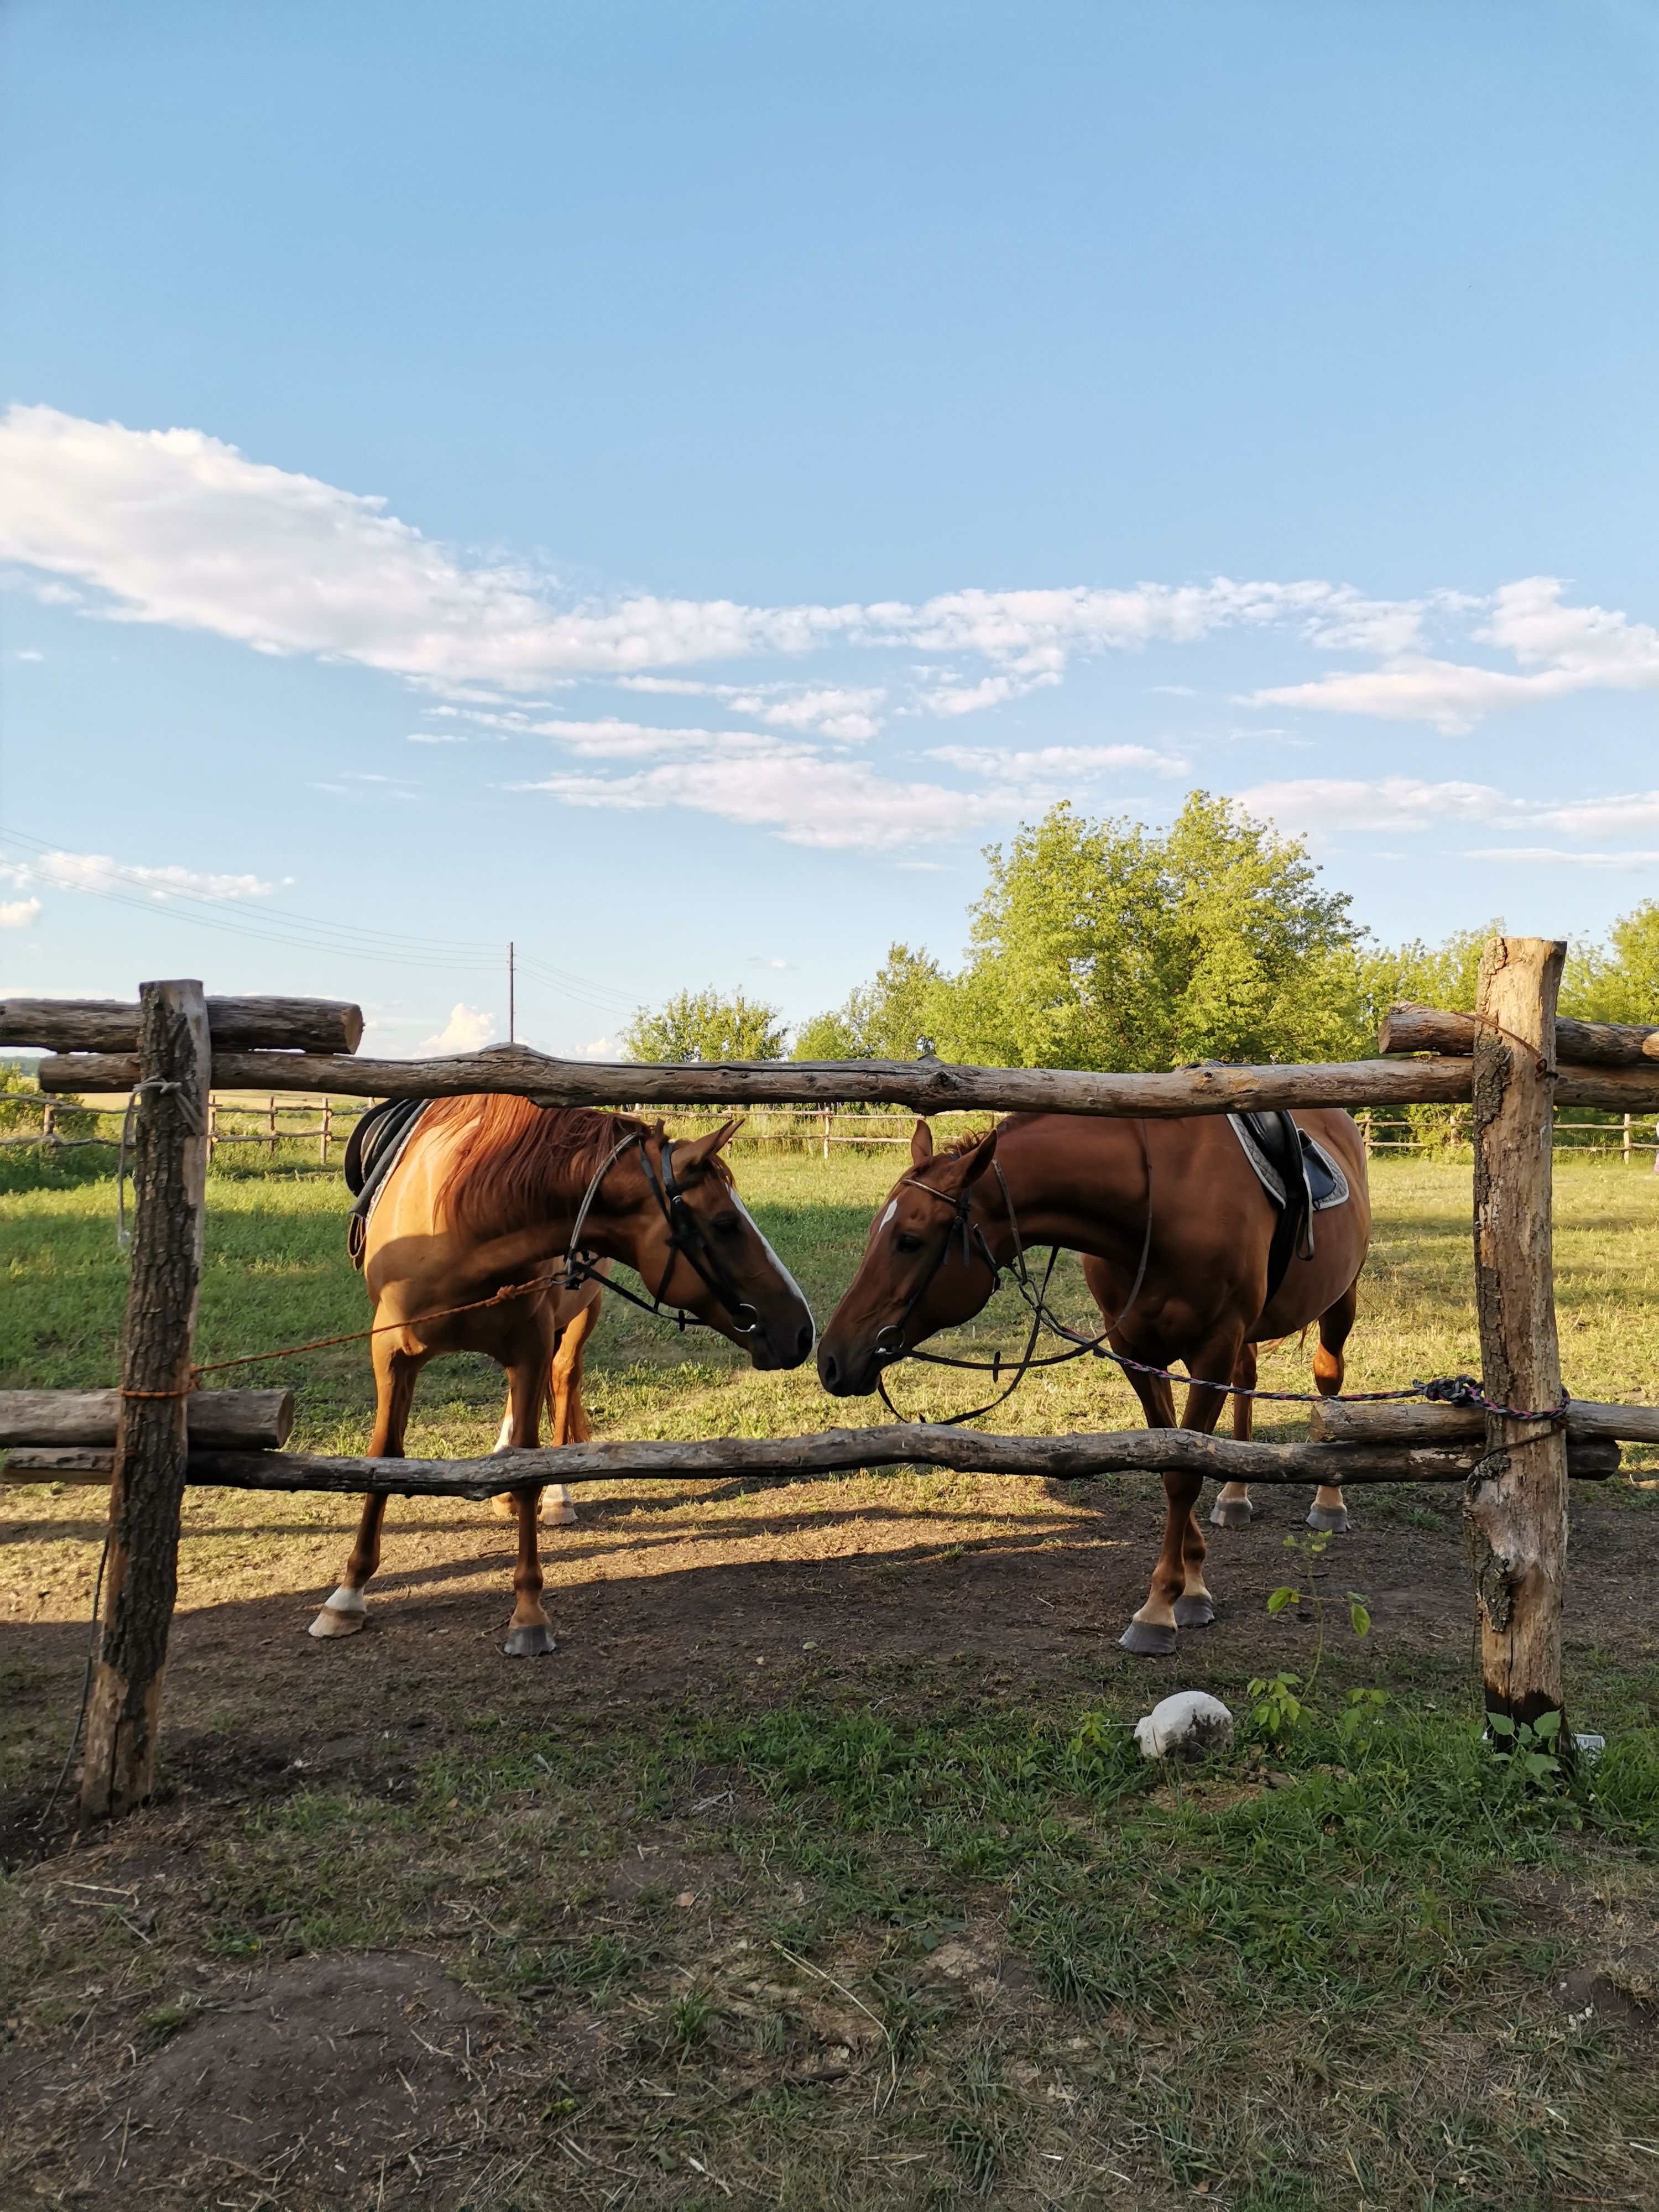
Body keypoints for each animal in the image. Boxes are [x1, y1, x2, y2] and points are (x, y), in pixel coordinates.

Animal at [312, 1097, 818, 1655]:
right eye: (726, 1223)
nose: (802, 1330)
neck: (461, 1221)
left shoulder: (531, 1349)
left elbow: (529, 1465)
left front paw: (529, 1613)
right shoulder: (391, 1353)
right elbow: (382, 1457)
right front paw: (347, 1594)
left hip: (577, 1319)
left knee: (564, 1380)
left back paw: (556, 1498)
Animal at [823, 1115, 1380, 1655]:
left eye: (909, 1241)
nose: (831, 1359)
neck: (1161, 1204)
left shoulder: (1214, 1348)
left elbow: (1185, 1474)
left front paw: (1161, 1609)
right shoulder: (1137, 1353)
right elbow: (1172, 1463)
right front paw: (1190, 1587)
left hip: (1340, 1301)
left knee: (1328, 1383)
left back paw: (1329, 1502)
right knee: (1248, 1381)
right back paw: (1236, 1494)